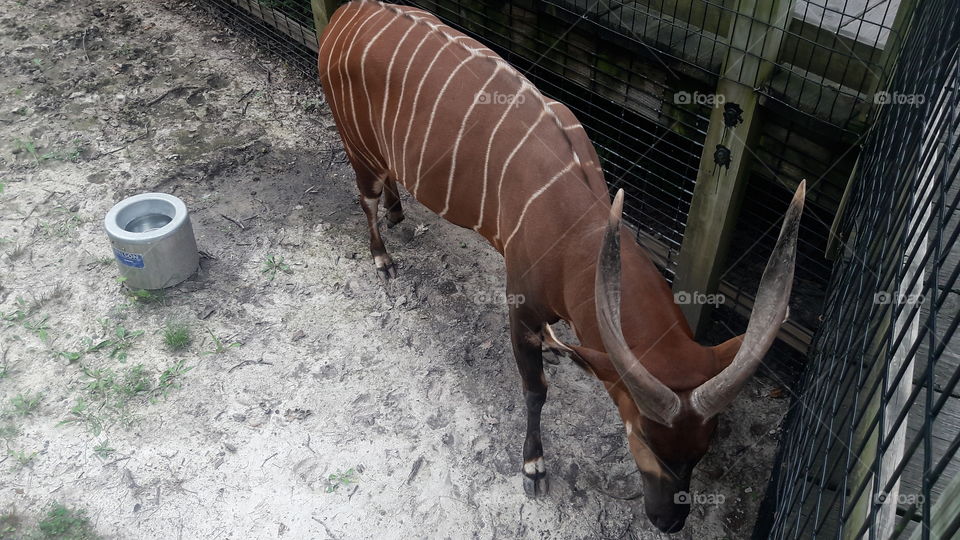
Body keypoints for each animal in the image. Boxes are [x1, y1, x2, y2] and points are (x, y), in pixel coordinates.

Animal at [316, 0, 804, 532]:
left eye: (704, 446)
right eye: (643, 437)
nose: (670, 521)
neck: (576, 231)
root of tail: (344, 15)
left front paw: (557, 349)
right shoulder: (519, 306)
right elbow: (535, 391)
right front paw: (533, 468)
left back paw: (398, 212)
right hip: (355, 144)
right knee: (364, 197)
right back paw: (383, 259)